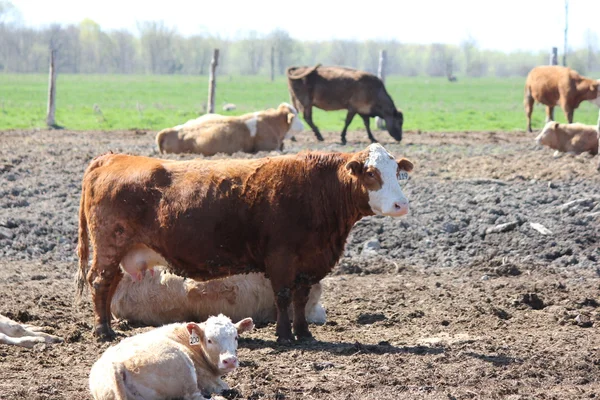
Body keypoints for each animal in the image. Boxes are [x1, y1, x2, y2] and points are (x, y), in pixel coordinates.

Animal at [89, 314, 253, 400]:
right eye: (209, 340)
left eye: (236, 337)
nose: (230, 360)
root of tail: (116, 365)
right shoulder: (210, 382)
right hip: (185, 371)